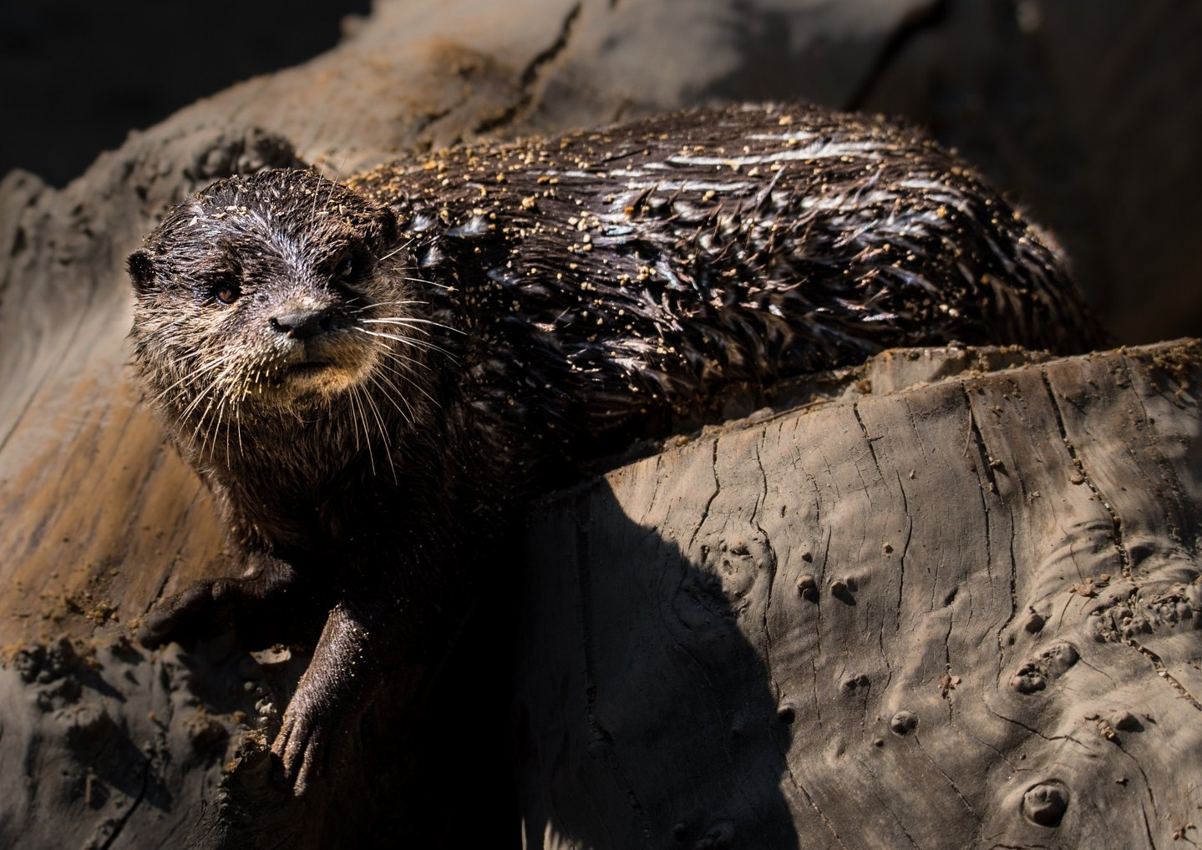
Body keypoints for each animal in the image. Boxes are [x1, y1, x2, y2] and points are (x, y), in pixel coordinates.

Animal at [127, 104, 1100, 794]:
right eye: (223, 286)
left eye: (348, 267)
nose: (303, 318)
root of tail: (1024, 224)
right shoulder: (244, 490)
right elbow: (283, 571)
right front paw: (186, 607)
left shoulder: (464, 444)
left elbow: (404, 587)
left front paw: (310, 713)